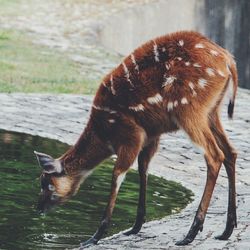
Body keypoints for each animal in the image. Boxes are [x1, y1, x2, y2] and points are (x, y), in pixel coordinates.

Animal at [34, 30, 237, 247]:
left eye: (47, 183)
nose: (38, 208)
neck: (103, 133)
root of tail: (228, 61)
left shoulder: (131, 135)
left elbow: (117, 174)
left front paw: (94, 237)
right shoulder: (151, 136)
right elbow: (143, 169)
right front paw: (135, 227)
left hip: (188, 110)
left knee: (215, 155)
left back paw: (190, 233)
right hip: (212, 112)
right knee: (230, 152)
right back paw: (226, 230)